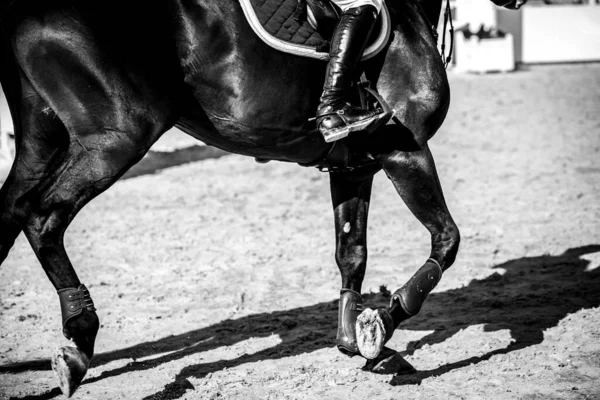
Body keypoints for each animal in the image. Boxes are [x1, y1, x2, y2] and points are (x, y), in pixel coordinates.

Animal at [0, 0, 524, 396]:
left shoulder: (354, 166)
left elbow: (351, 252)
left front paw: (353, 338)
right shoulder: (404, 151)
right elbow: (447, 240)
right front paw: (381, 324)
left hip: (40, 140)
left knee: (10, 214)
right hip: (117, 136)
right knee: (42, 217)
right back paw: (78, 342)